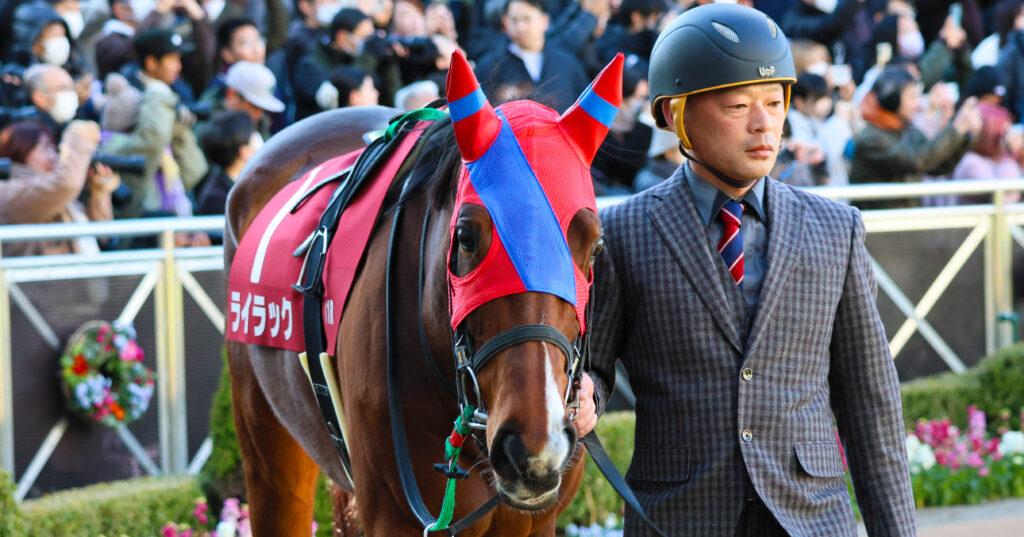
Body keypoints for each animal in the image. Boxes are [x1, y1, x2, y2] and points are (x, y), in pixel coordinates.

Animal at [223, 52, 623, 536]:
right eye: (466, 237)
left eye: (595, 245)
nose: (531, 447)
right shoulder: (393, 514)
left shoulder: (537, 521)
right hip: (266, 444)